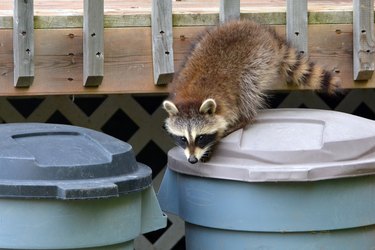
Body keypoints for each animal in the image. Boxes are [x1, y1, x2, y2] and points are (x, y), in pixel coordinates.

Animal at [163, 19, 342, 164]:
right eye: (183, 138)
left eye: (200, 137)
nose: (192, 160)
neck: (192, 97)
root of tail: (265, 33)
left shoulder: (227, 102)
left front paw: (216, 139)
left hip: (258, 61)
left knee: (247, 88)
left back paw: (245, 117)